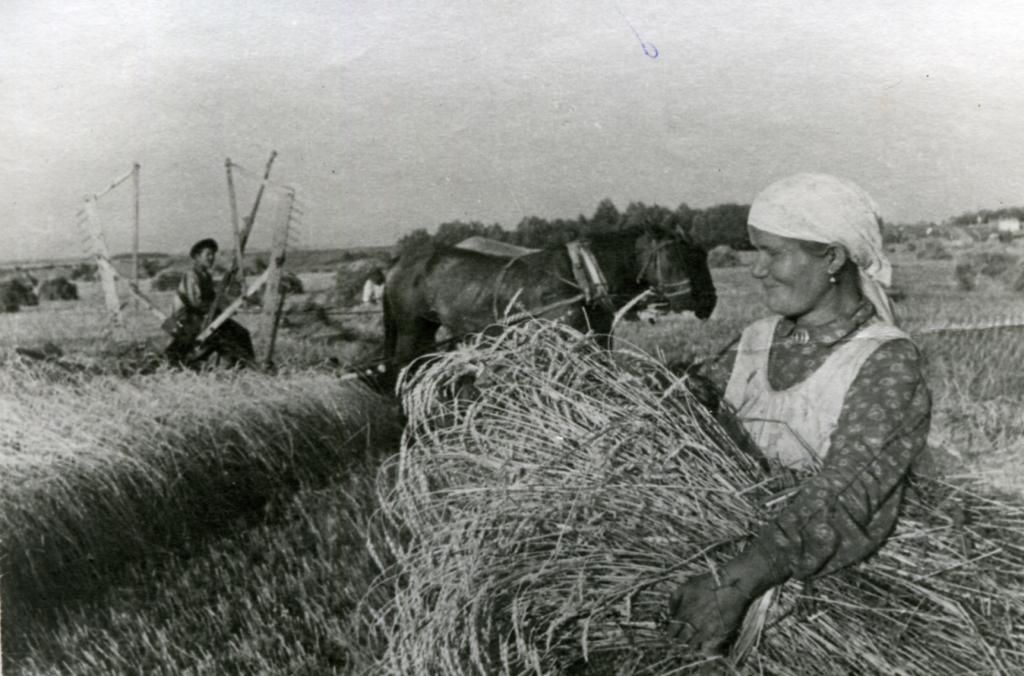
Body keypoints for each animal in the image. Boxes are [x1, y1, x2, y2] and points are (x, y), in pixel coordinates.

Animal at [380, 228, 716, 383]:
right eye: (681, 256)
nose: (709, 301)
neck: (582, 277)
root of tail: (398, 263)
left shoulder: (597, 340)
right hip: (411, 330)